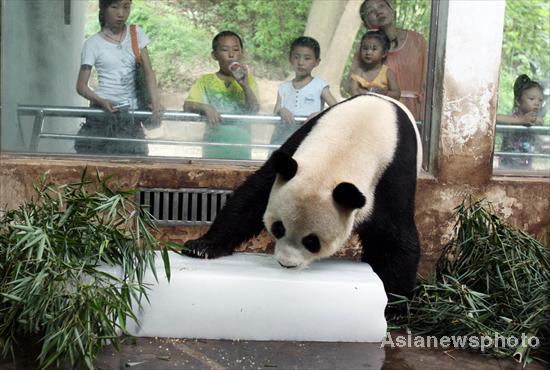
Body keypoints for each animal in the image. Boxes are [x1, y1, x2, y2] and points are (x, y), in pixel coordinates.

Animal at [181, 94, 422, 298]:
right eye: (278, 228)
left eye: (312, 241)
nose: (286, 264)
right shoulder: (296, 148)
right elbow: (253, 197)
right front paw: (202, 247)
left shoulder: (391, 175)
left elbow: (395, 236)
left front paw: (394, 300)